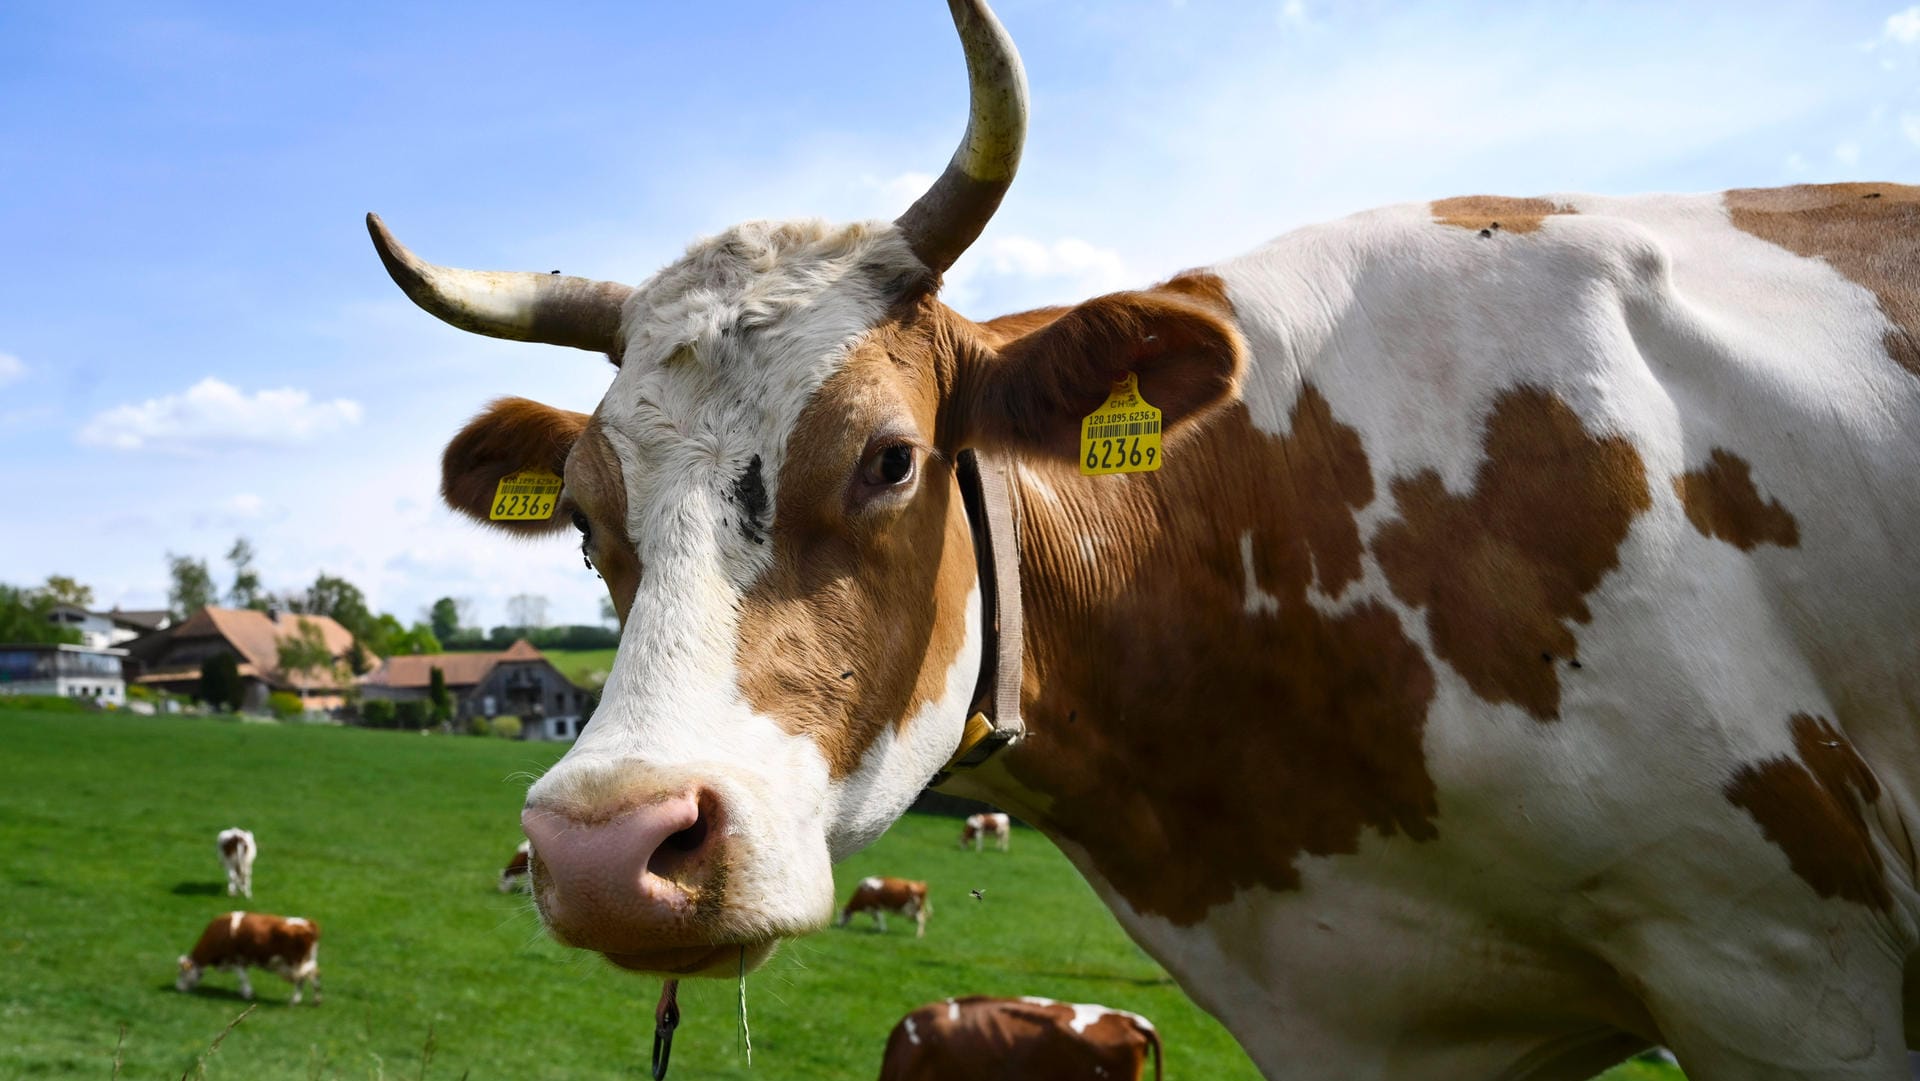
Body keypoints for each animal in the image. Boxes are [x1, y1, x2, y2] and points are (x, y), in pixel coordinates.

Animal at [176, 913, 322, 1006]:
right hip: (305, 961)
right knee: (310, 976)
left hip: (296, 963)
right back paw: (313, 1001)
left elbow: (242, 978)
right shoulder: (242, 961)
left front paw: (247, 994)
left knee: (307, 976)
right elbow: (244, 977)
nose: (178, 987)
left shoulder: (236, 960)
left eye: (182, 972)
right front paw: (246, 992)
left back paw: (296, 1000)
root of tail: (309, 924)